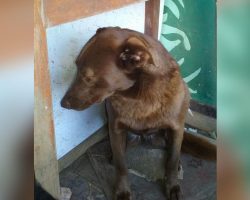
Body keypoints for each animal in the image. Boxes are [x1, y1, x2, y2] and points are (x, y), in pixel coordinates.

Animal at [61, 27, 189, 200]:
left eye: (88, 77)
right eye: (75, 67)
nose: (62, 104)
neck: (139, 95)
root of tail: (144, 138)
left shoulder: (177, 128)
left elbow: (172, 161)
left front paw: (173, 186)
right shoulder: (115, 129)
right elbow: (121, 165)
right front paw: (122, 191)